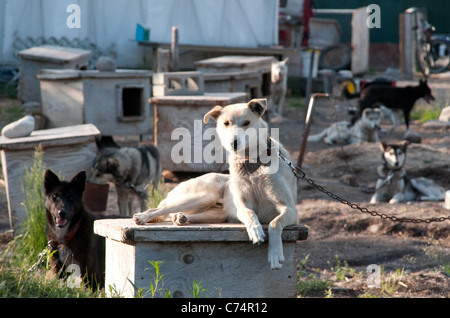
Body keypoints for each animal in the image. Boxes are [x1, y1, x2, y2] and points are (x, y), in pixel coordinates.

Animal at [135, 98, 300, 270]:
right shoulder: (242, 206)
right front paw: (255, 231)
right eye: (226, 123)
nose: (234, 143)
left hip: (216, 212)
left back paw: (181, 218)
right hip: (204, 196)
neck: (251, 163)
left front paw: (275, 255)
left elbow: (275, 223)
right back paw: (142, 217)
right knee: (160, 209)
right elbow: (250, 213)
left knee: (179, 214)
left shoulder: (290, 209)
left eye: (247, 123)